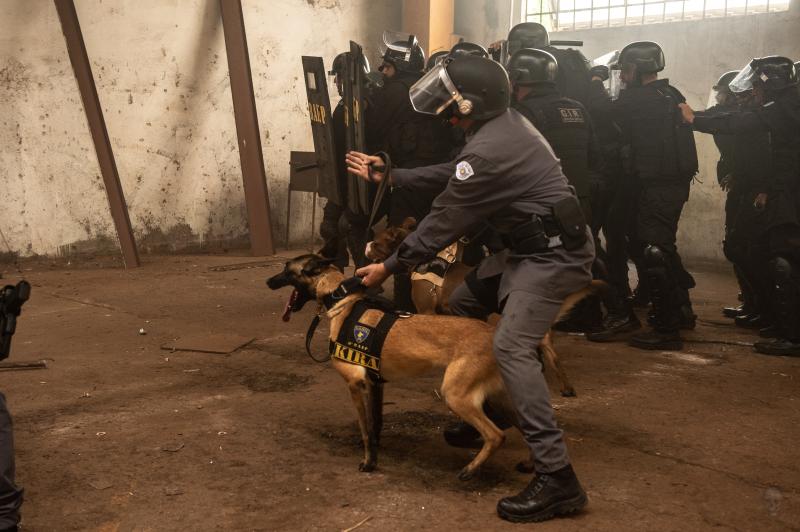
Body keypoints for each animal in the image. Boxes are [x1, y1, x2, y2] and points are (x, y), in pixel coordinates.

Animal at [266, 254, 596, 478]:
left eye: (286, 269)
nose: (268, 281)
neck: (343, 302)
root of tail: (493, 333)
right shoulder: (375, 385)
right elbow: (376, 424)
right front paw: (378, 453)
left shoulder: (356, 386)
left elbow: (364, 429)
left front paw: (368, 462)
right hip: (499, 396)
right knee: (527, 428)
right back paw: (529, 462)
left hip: (455, 394)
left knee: (496, 435)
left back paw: (470, 469)